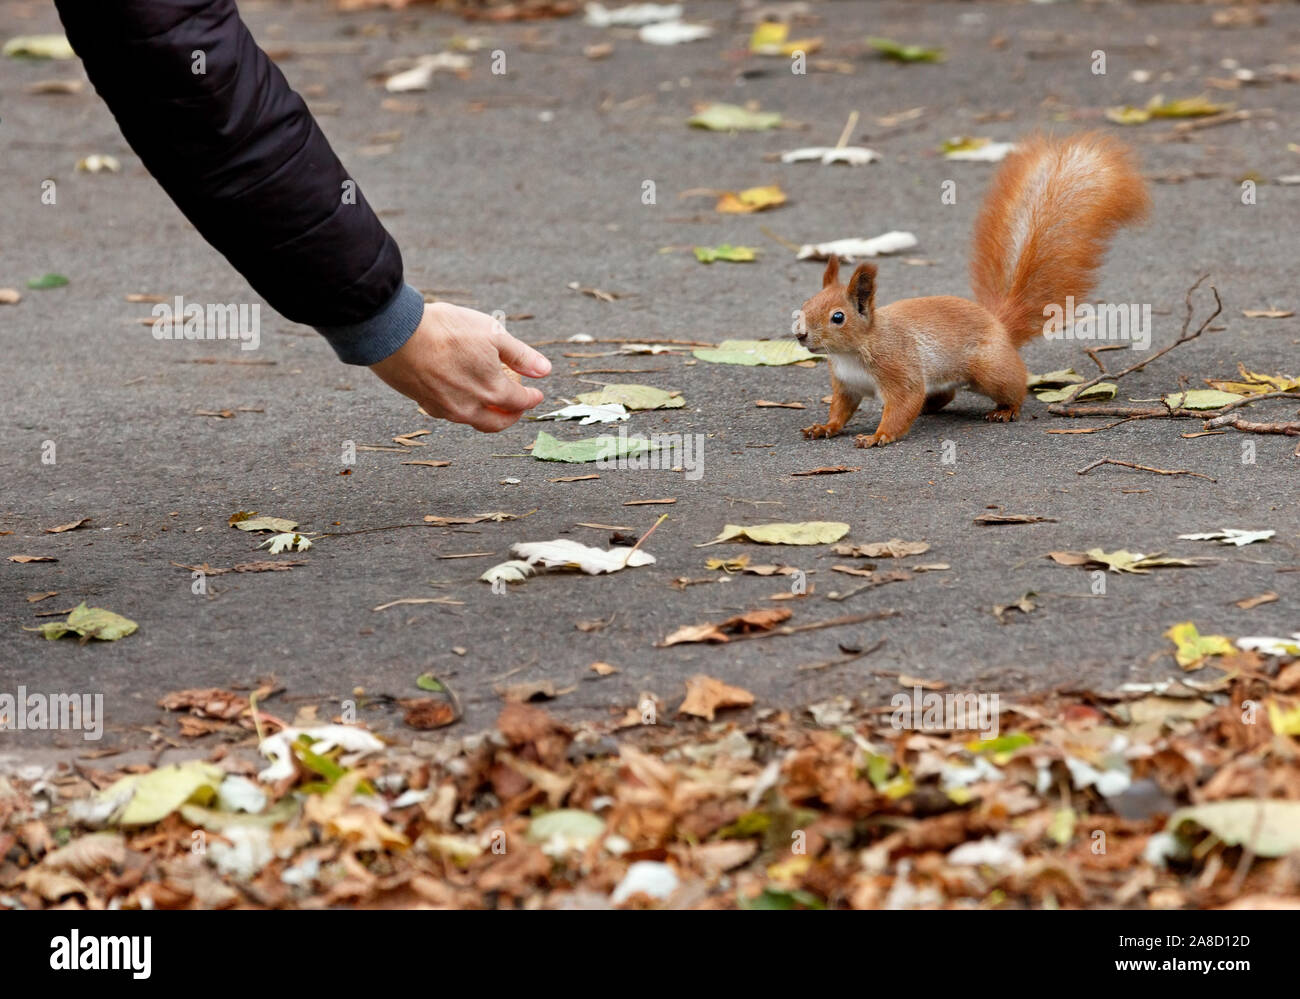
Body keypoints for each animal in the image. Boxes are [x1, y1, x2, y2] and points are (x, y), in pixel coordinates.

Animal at [796, 132, 1151, 448]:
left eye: (838, 317)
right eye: (805, 304)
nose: (800, 334)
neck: (852, 352)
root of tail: (998, 323)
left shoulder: (898, 368)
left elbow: (903, 403)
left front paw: (878, 435)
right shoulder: (846, 385)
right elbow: (841, 410)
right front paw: (824, 427)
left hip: (990, 369)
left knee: (1014, 386)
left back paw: (1006, 410)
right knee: (945, 394)